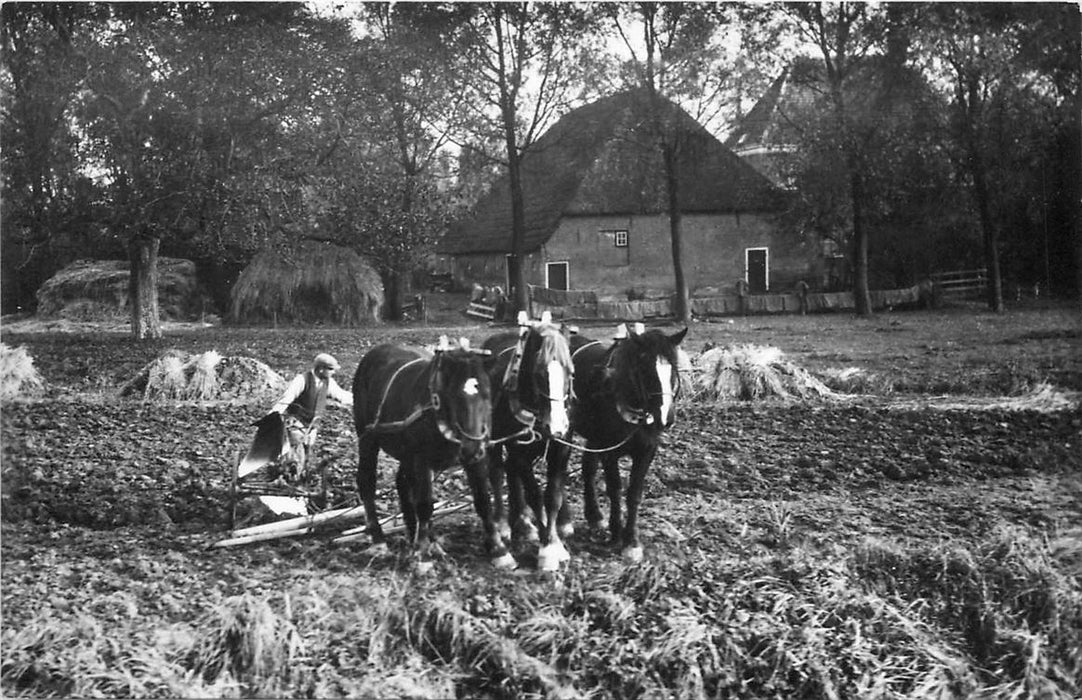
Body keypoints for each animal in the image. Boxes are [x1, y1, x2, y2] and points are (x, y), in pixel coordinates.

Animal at [350, 335, 510, 571]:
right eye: (453, 396)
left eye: (487, 395)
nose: (471, 448)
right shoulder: (422, 459)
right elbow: (425, 504)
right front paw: (422, 557)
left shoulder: (476, 458)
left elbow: (482, 499)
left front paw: (498, 549)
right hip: (367, 438)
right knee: (367, 481)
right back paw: (379, 539)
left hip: (406, 453)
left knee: (403, 483)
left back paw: (417, 536)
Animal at [486, 311, 579, 571]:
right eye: (539, 373)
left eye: (571, 372)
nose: (556, 427)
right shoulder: (519, 450)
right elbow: (536, 495)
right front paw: (547, 550)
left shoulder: (561, 450)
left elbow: (553, 496)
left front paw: (555, 541)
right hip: (496, 441)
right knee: (497, 472)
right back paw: (503, 524)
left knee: (510, 472)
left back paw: (524, 523)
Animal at [566, 324, 683, 562]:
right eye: (645, 369)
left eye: (673, 370)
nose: (667, 417)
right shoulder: (609, 452)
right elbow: (614, 488)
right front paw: (616, 533)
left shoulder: (646, 451)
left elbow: (634, 493)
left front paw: (631, 540)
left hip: (594, 438)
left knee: (588, 469)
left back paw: (594, 516)